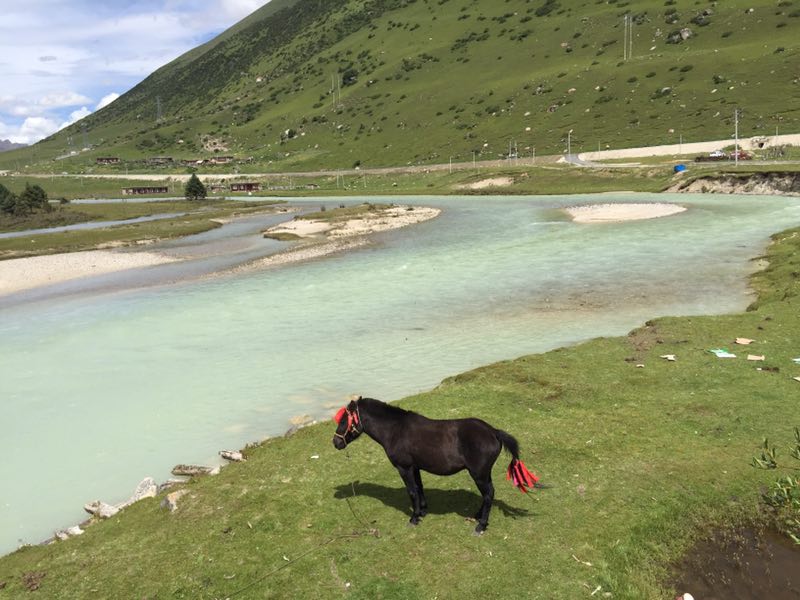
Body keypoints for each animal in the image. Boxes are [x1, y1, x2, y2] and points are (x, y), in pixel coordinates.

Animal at [332, 396, 536, 532]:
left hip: (478, 474)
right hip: (485, 473)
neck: (395, 430)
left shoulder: (404, 468)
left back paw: (481, 525)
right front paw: (422, 511)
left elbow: (412, 491)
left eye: (344, 420)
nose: (336, 442)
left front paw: (414, 518)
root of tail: (493, 431)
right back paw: (478, 516)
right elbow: (419, 488)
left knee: (488, 494)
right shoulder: (415, 467)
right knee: (488, 494)